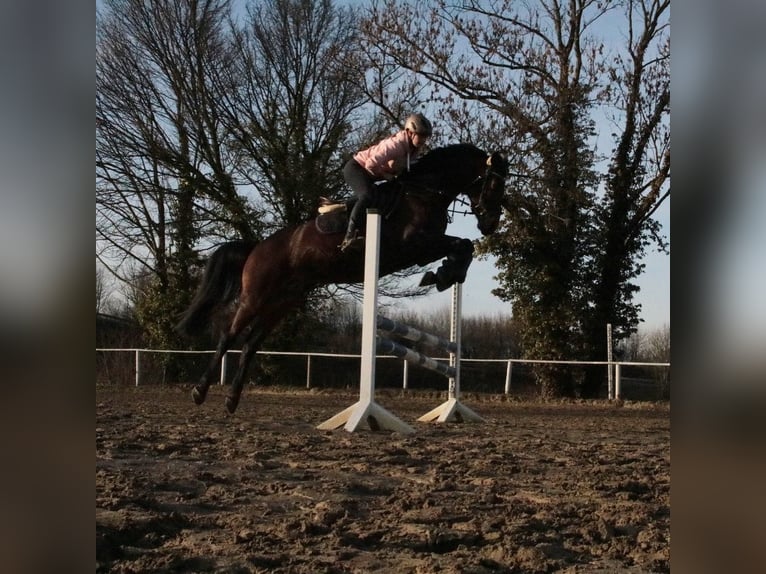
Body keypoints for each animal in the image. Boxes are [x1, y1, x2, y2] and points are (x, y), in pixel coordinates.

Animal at [176, 143, 509, 413]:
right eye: (494, 184)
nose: (490, 225)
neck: (424, 192)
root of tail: (258, 246)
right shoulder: (414, 245)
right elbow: (462, 244)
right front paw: (442, 275)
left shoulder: (422, 249)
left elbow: (463, 246)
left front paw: (444, 275)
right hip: (255, 297)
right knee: (228, 337)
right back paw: (199, 392)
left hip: (282, 304)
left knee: (249, 345)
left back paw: (232, 400)